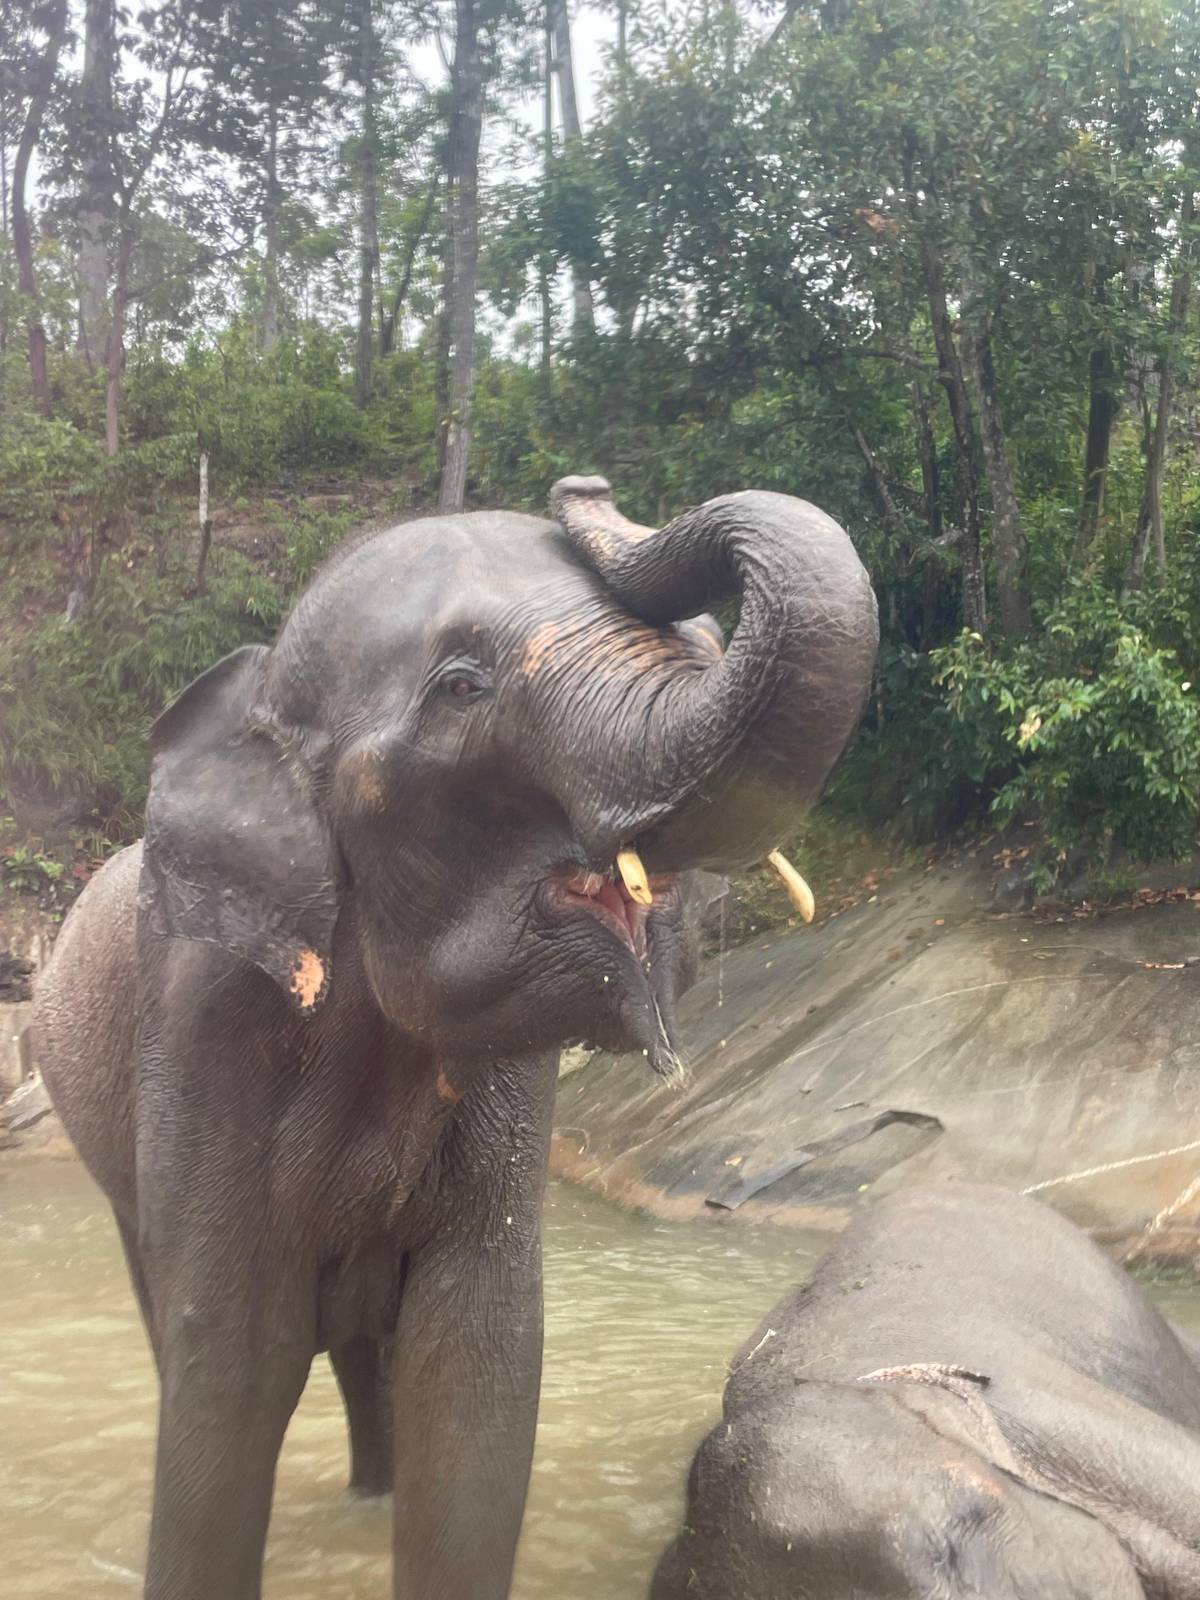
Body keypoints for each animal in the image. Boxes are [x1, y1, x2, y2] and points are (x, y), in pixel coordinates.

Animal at [34, 474, 877, 1600]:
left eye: (694, 642)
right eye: (463, 686)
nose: (586, 489)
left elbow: (474, 1369)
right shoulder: (202, 1029)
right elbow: (228, 1364)